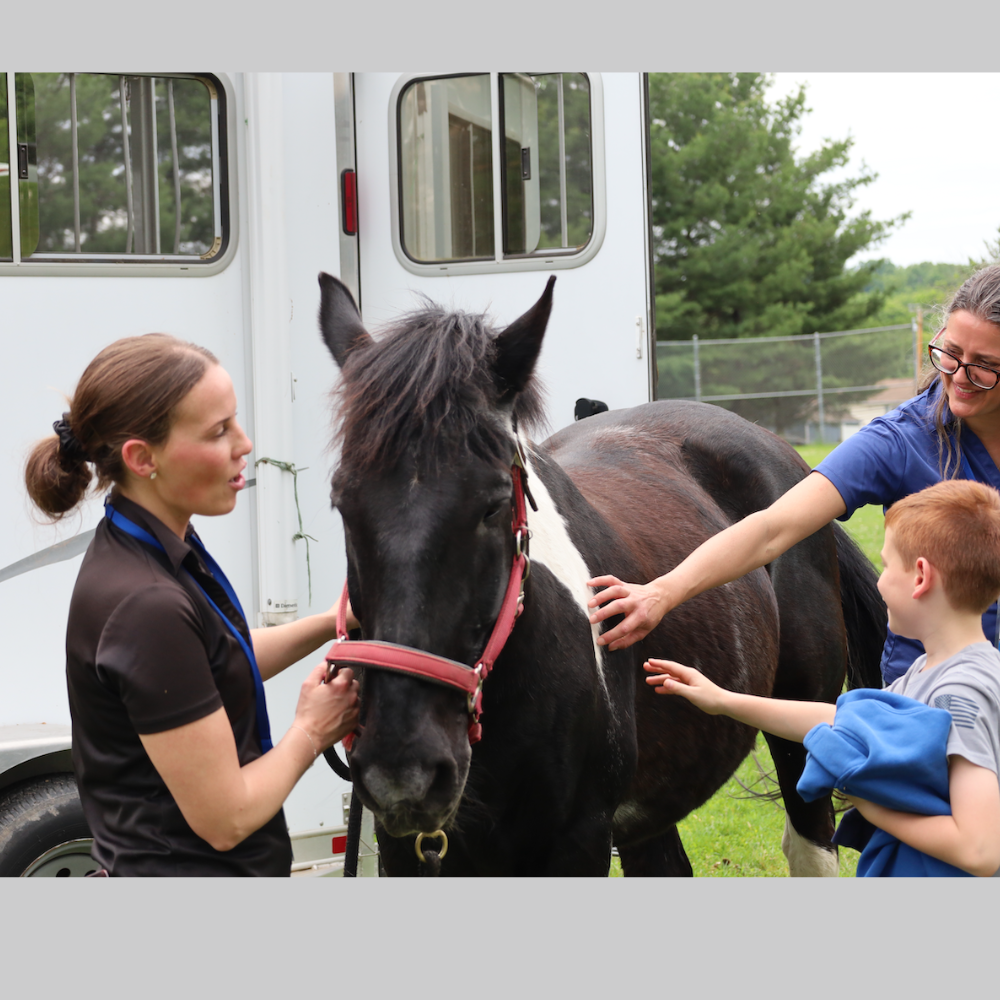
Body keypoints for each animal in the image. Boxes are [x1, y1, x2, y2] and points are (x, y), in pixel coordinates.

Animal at [317, 272, 887, 876]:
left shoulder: (578, 840)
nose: (404, 769)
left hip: (800, 726)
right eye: (342, 502)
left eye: (493, 504)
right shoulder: (406, 851)